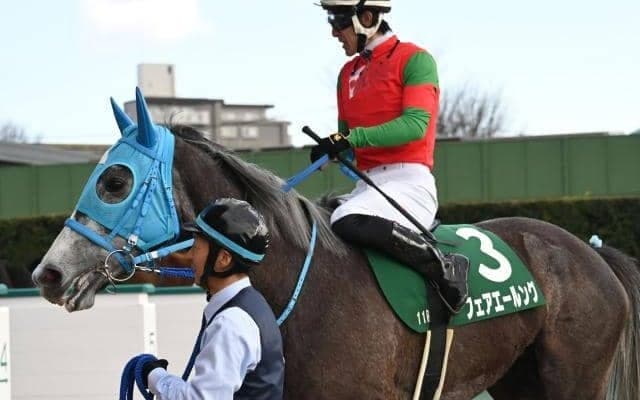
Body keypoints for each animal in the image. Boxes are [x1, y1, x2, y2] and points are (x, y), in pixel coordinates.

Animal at [32, 97, 640, 399]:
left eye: (114, 181)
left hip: (573, 380)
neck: (304, 289)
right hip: (520, 383)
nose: (48, 274)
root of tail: (591, 252)